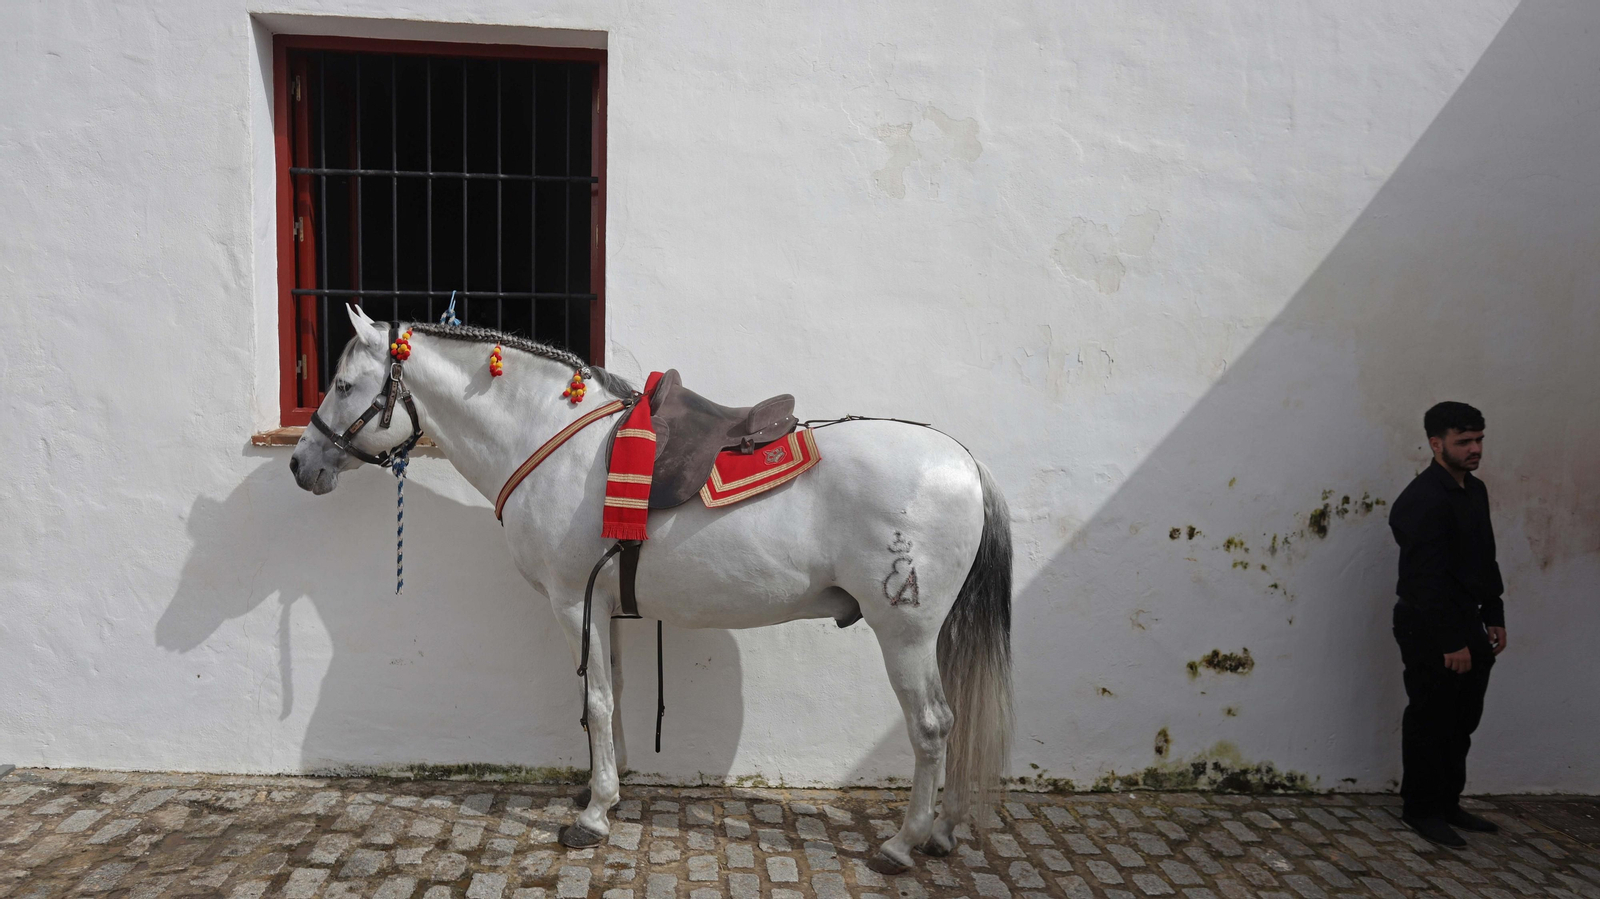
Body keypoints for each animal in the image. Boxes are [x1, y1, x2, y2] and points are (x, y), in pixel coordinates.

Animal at [289, 304, 1013, 874]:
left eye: (344, 384)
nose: (301, 463)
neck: (551, 443)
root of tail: (963, 461)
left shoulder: (572, 601)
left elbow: (597, 699)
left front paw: (595, 815)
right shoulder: (602, 605)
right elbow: (610, 697)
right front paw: (602, 794)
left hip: (906, 631)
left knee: (931, 726)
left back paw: (903, 842)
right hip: (935, 632)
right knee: (954, 718)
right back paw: (945, 830)